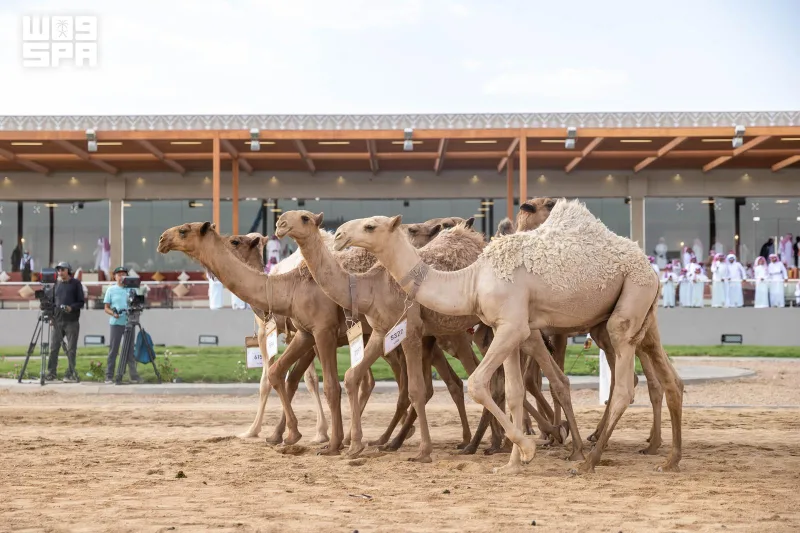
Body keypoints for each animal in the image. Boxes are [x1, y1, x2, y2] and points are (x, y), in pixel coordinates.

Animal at [333, 199, 684, 474]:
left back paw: (588, 461)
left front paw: (528, 448)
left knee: (624, 386)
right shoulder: (513, 329)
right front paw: (513, 464)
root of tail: (650, 267)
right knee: (670, 378)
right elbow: (514, 393)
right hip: (644, 313)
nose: (338, 234)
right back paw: (670, 460)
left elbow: (478, 384)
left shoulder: (513, 326)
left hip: (627, 305)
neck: (471, 281)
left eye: (370, 226)